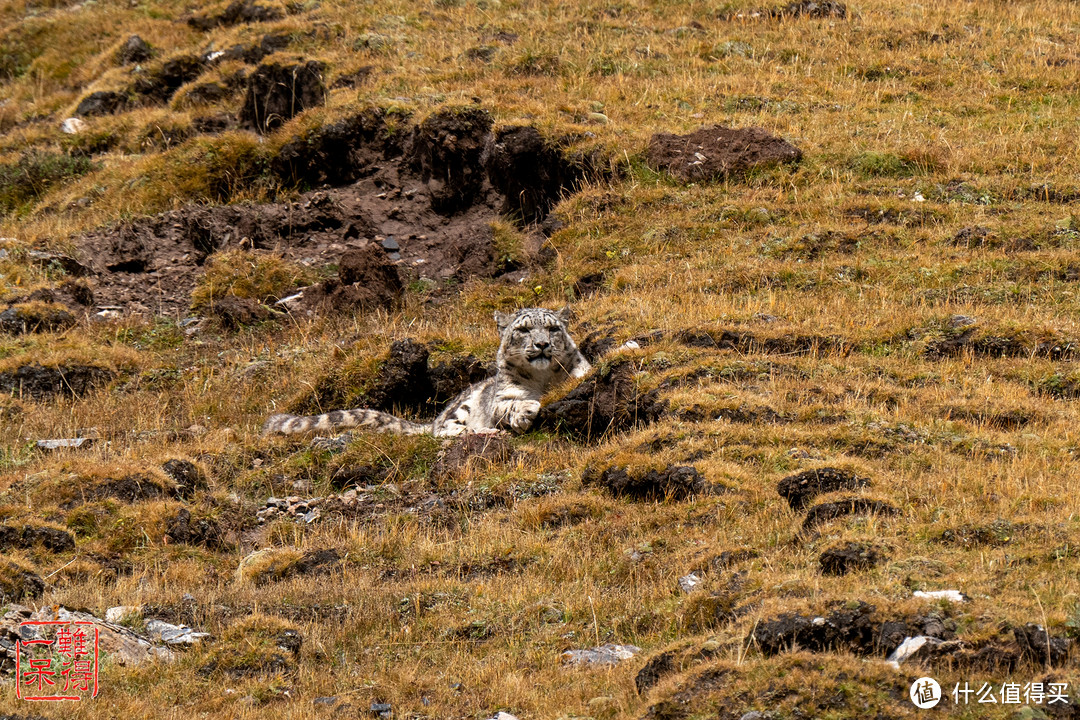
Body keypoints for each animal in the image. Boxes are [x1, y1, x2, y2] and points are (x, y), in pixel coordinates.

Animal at [261, 306, 591, 436]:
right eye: (523, 330)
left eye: (553, 328)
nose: (542, 344)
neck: (542, 379)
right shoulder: (502, 398)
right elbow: (508, 406)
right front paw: (525, 411)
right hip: (460, 409)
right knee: (446, 431)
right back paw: (481, 430)